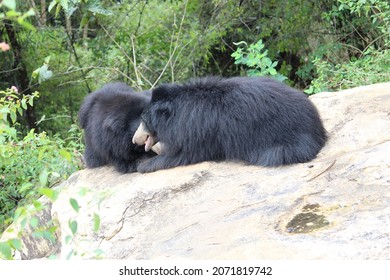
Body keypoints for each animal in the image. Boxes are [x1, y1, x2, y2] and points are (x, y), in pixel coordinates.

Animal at [133, 76, 328, 173]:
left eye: (143, 121)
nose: (135, 140)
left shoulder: (201, 130)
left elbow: (185, 154)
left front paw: (143, 165)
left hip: (284, 140)